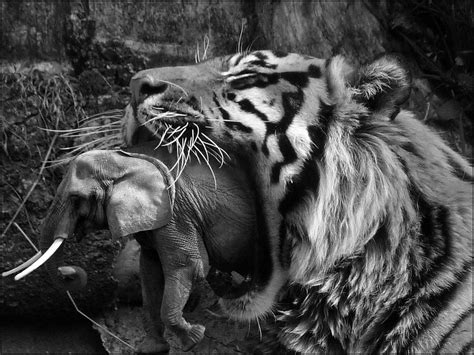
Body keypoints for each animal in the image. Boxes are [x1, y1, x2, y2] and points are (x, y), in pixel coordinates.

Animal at [9, 143, 262, 354]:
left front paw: (194, 339)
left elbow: (188, 266)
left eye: (77, 198)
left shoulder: (175, 213)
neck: (130, 161)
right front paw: (151, 349)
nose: (69, 271)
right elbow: (150, 272)